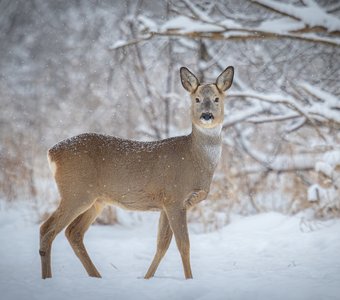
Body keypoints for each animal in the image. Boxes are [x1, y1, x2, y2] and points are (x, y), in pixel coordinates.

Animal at [38, 65, 232, 278]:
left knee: (73, 232)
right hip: (76, 192)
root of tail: (51, 152)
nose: (207, 115)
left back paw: (96, 276)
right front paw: (189, 279)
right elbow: (184, 245)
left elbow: (162, 245)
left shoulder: (166, 204)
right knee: (47, 229)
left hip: (96, 200)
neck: (196, 159)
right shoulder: (175, 197)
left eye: (217, 99)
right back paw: (48, 278)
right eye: (196, 99)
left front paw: (147, 278)